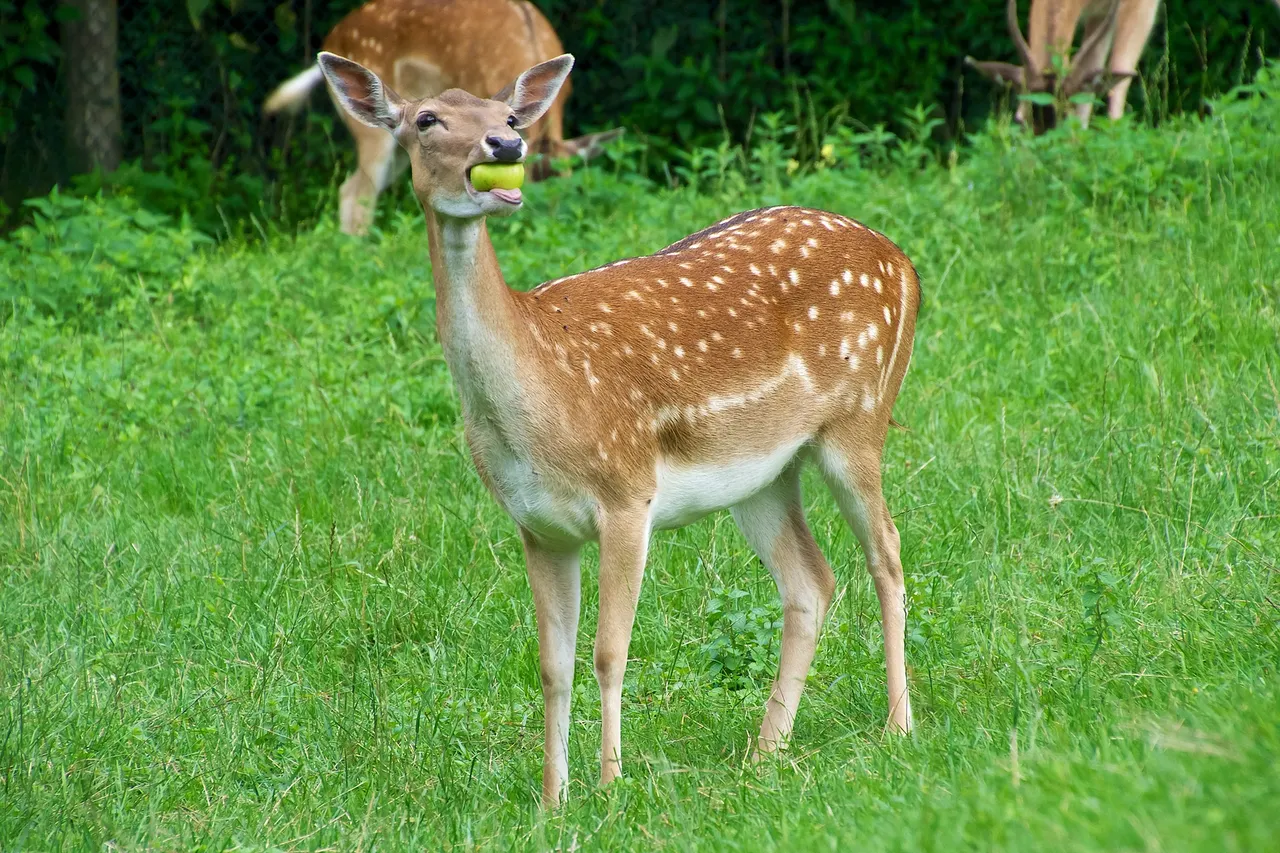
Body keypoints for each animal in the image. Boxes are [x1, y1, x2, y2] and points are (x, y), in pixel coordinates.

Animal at [316, 46, 926, 804]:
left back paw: (897, 725)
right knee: (811, 582)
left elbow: (610, 652)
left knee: (887, 553)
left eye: (509, 114)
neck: (539, 402)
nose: (505, 147)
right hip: (762, 475)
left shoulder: (628, 493)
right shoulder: (537, 525)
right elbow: (553, 665)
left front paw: (609, 785)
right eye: (426, 118)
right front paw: (552, 799)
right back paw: (764, 751)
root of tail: (905, 264)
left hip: (859, 419)